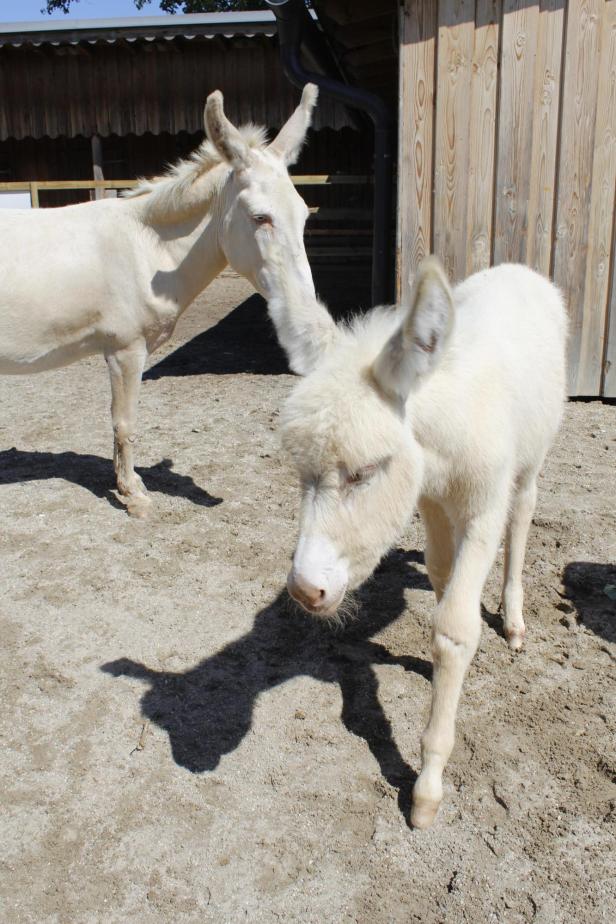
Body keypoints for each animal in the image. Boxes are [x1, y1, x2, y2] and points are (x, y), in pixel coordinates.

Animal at [0, 84, 318, 516]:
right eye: (259, 217)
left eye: (304, 215)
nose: (306, 313)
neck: (145, 248)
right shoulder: (125, 351)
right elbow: (125, 422)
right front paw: (133, 494)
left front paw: (122, 482)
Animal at [280, 258, 568, 832]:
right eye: (303, 473)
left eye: (364, 471)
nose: (304, 591)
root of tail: (519, 268)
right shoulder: (431, 498)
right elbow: (439, 575)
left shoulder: (483, 508)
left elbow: (456, 628)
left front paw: (428, 785)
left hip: (532, 456)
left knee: (524, 513)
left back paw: (513, 618)